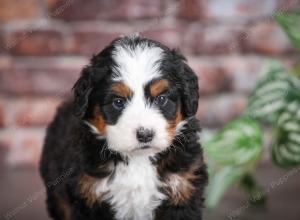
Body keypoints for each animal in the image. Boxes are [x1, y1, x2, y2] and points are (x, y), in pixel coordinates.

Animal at [39, 34, 207, 220]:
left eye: (161, 99)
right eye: (118, 102)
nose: (145, 134)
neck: (138, 160)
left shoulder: (182, 188)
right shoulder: (90, 193)